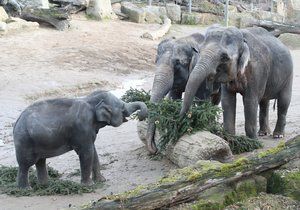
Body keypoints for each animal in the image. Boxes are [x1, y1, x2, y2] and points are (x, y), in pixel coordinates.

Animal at [14, 89, 148, 188]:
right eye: (122, 108)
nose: (141, 116)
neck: (90, 100)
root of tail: (16, 122)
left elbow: (93, 152)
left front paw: (101, 181)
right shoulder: (82, 128)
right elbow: (87, 152)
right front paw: (88, 186)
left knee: (41, 161)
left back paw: (46, 185)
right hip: (25, 141)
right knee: (25, 164)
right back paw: (26, 189)